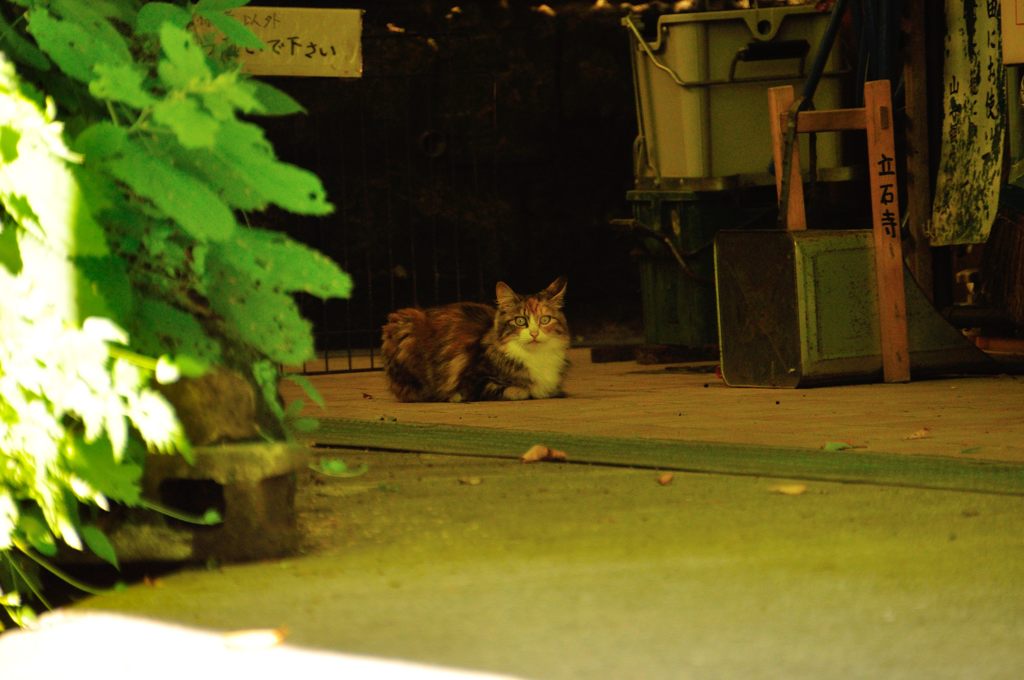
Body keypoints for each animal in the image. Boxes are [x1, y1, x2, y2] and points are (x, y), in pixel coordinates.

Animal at [378, 278, 569, 401]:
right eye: (520, 321)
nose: (534, 333)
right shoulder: (474, 380)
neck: (536, 356)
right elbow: (518, 391)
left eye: (545, 320)